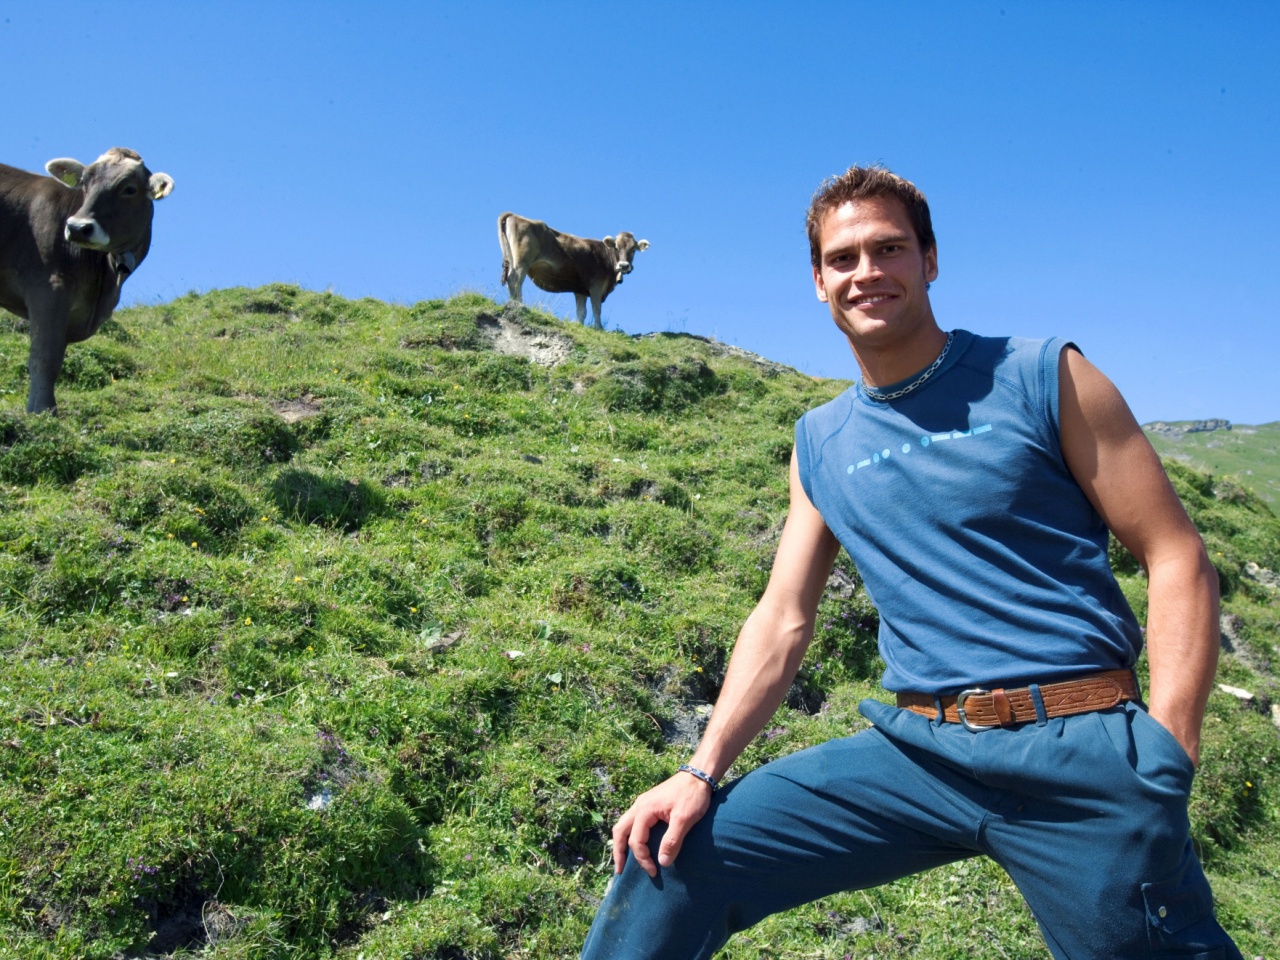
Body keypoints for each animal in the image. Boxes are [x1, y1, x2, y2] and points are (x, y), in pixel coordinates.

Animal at [0, 147, 174, 413]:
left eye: (129, 189)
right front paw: (42, 410)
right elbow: (45, 358)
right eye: (84, 183)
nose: (77, 227)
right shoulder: (48, 290)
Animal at [498, 212, 648, 330]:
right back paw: (518, 304)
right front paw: (599, 328)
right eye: (616, 247)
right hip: (522, 261)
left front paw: (580, 326)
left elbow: (581, 312)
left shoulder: (580, 290)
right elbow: (596, 309)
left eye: (633, 249)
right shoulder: (596, 287)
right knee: (515, 280)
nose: (624, 265)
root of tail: (514, 215)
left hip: (512, 260)